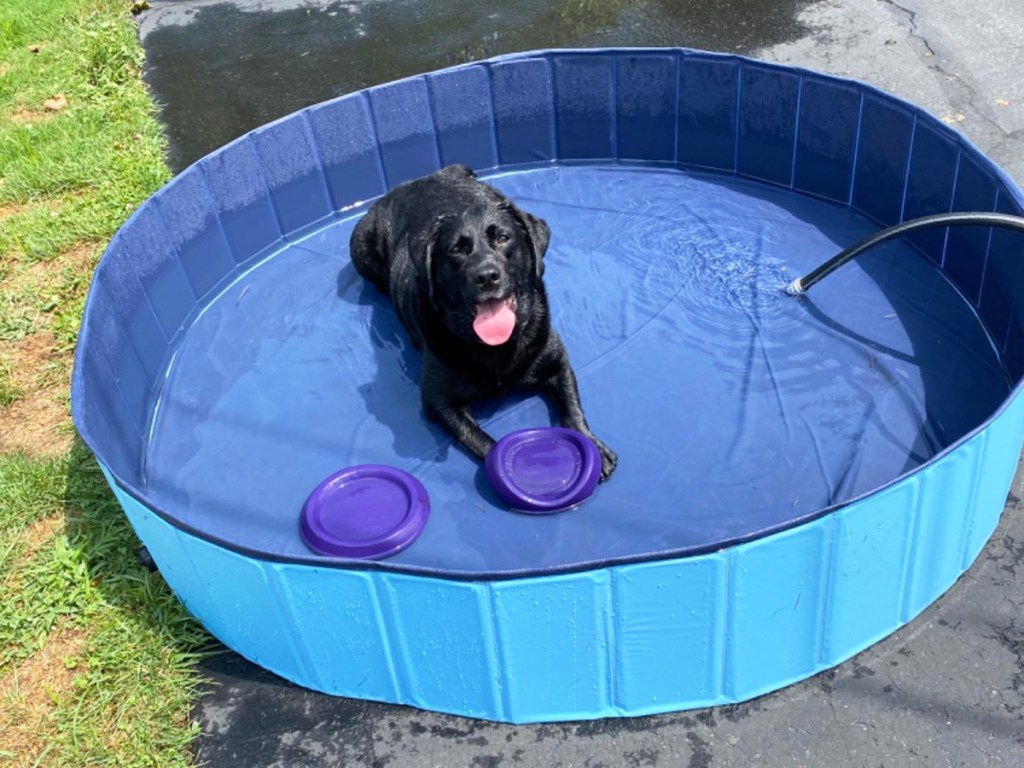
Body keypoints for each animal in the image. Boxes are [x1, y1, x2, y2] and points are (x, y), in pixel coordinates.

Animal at [348, 165, 614, 481]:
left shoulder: (556, 358)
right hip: (361, 248)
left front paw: (593, 445)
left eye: (503, 238)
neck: (498, 348)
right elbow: (483, 442)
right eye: (456, 249)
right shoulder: (438, 402)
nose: (486, 275)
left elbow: (572, 406)